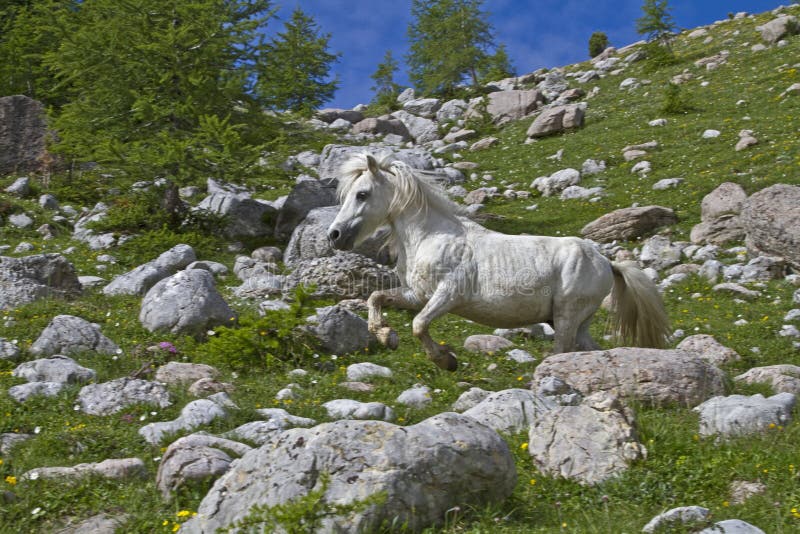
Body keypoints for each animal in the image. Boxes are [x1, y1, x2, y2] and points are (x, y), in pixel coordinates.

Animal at [327, 153, 670, 371]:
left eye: (362, 194)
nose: (334, 235)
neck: (431, 236)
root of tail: (606, 262)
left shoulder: (448, 295)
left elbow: (419, 325)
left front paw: (446, 361)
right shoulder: (417, 296)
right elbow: (377, 297)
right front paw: (387, 336)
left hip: (567, 316)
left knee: (562, 351)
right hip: (574, 322)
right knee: (594, 351)